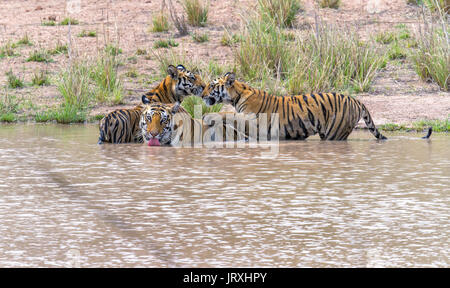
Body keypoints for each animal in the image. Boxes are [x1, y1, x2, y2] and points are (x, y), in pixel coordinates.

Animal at [201, 73, 394, 141]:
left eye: (211, 85)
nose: (201, 94)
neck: (237, 96)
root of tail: (357, 100)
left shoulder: (254, 121)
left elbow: (228, 115)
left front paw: (208, 117)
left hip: (335, 133)